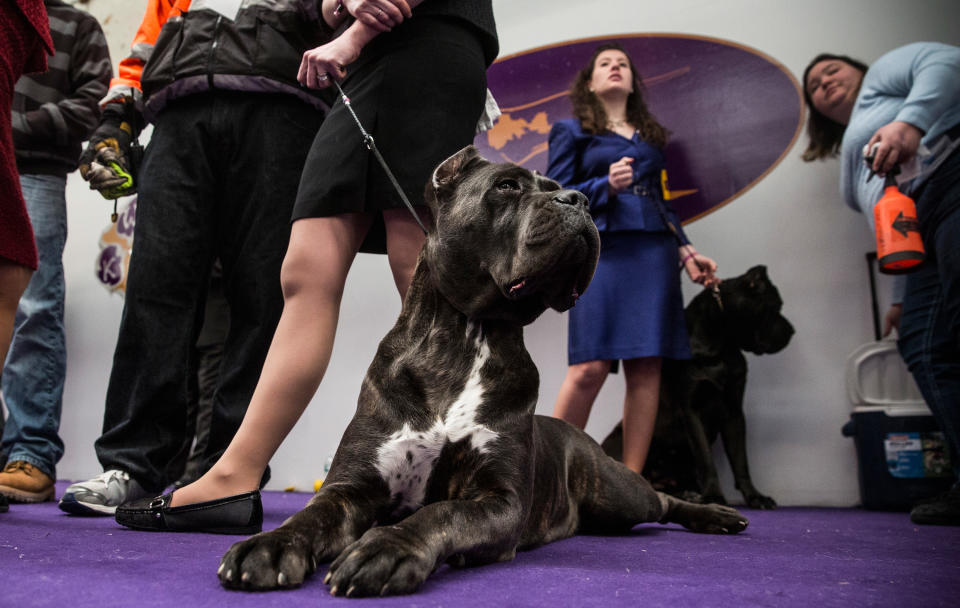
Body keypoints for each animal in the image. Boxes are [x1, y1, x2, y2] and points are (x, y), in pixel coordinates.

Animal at [218, 148, 752, 600]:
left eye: (557, 186)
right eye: (507, 186)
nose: (578, 198)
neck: (467, 336)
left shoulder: (499, 499)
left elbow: (441, 512)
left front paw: (387, 547)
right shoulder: (352, 486)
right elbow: (312, 514)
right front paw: (270, 543)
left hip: (619, 491)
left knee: (661, 501)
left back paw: (717, 513)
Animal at [600, 266, 796, 508]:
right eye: (776, 306)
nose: (792, 331)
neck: (723, 345)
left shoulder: (734, 412)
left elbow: (740, 460)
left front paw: (755, 496)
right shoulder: (691, 410)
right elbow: (705, 458)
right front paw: (714, 496)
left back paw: (688, 494)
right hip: (621, 439)